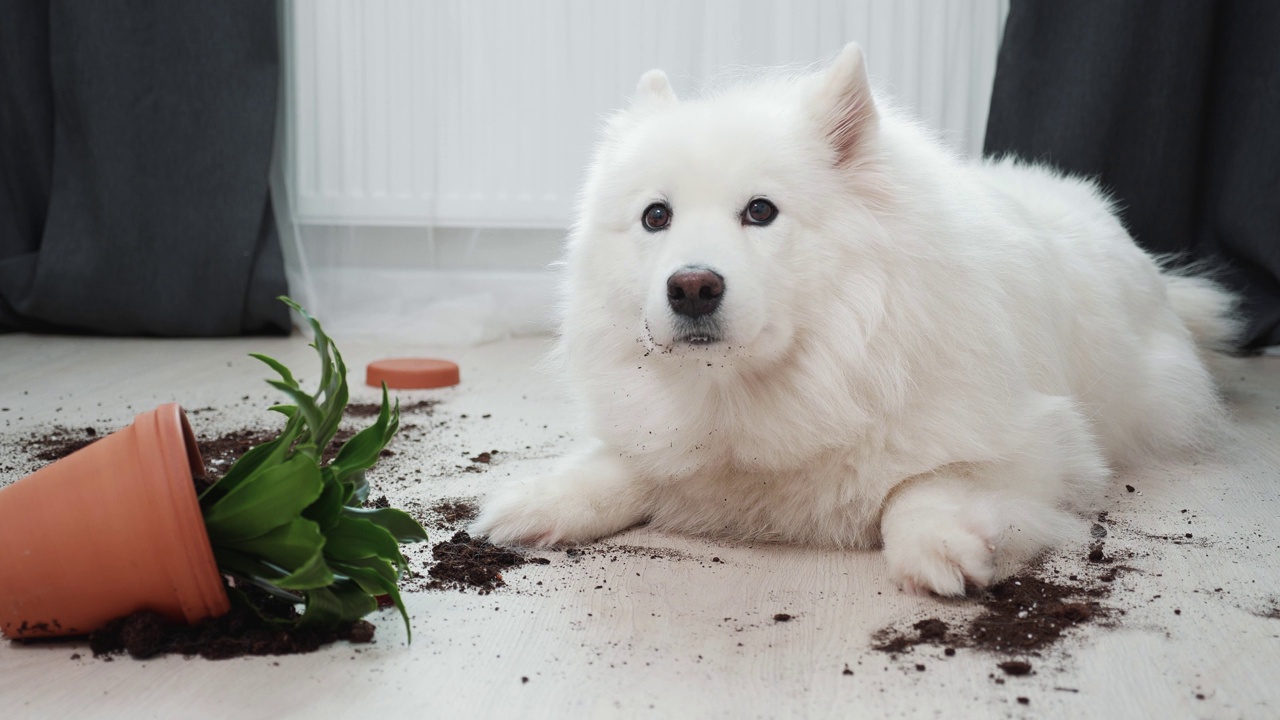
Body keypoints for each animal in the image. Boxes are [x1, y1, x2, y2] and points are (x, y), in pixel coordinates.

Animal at [473, 43, 1239, 594]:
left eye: (761, 211)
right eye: (655, 217)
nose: (691, 287)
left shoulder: (1044, 444)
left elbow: (925, 485)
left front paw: (939, 549)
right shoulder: (665, 438)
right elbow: (621, 467)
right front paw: (538, 503)